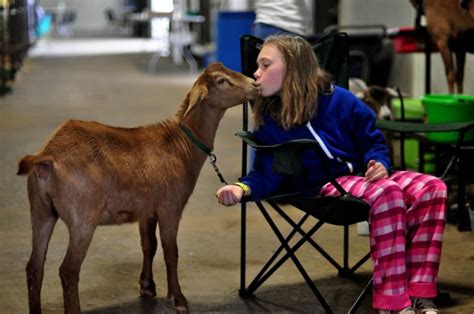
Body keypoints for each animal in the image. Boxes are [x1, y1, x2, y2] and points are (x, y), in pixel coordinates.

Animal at [17, 62, 260, 314]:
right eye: (221, 81)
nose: (255, 84)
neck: (182, 146)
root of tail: (46, 156)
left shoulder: (146, 210)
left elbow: (148, 245)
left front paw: (148, 287)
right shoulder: (170, 207)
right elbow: (171, 251)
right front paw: (179, 300)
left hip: (41, 210)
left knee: (34, 267)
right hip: (82, 218)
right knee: (68, 271)